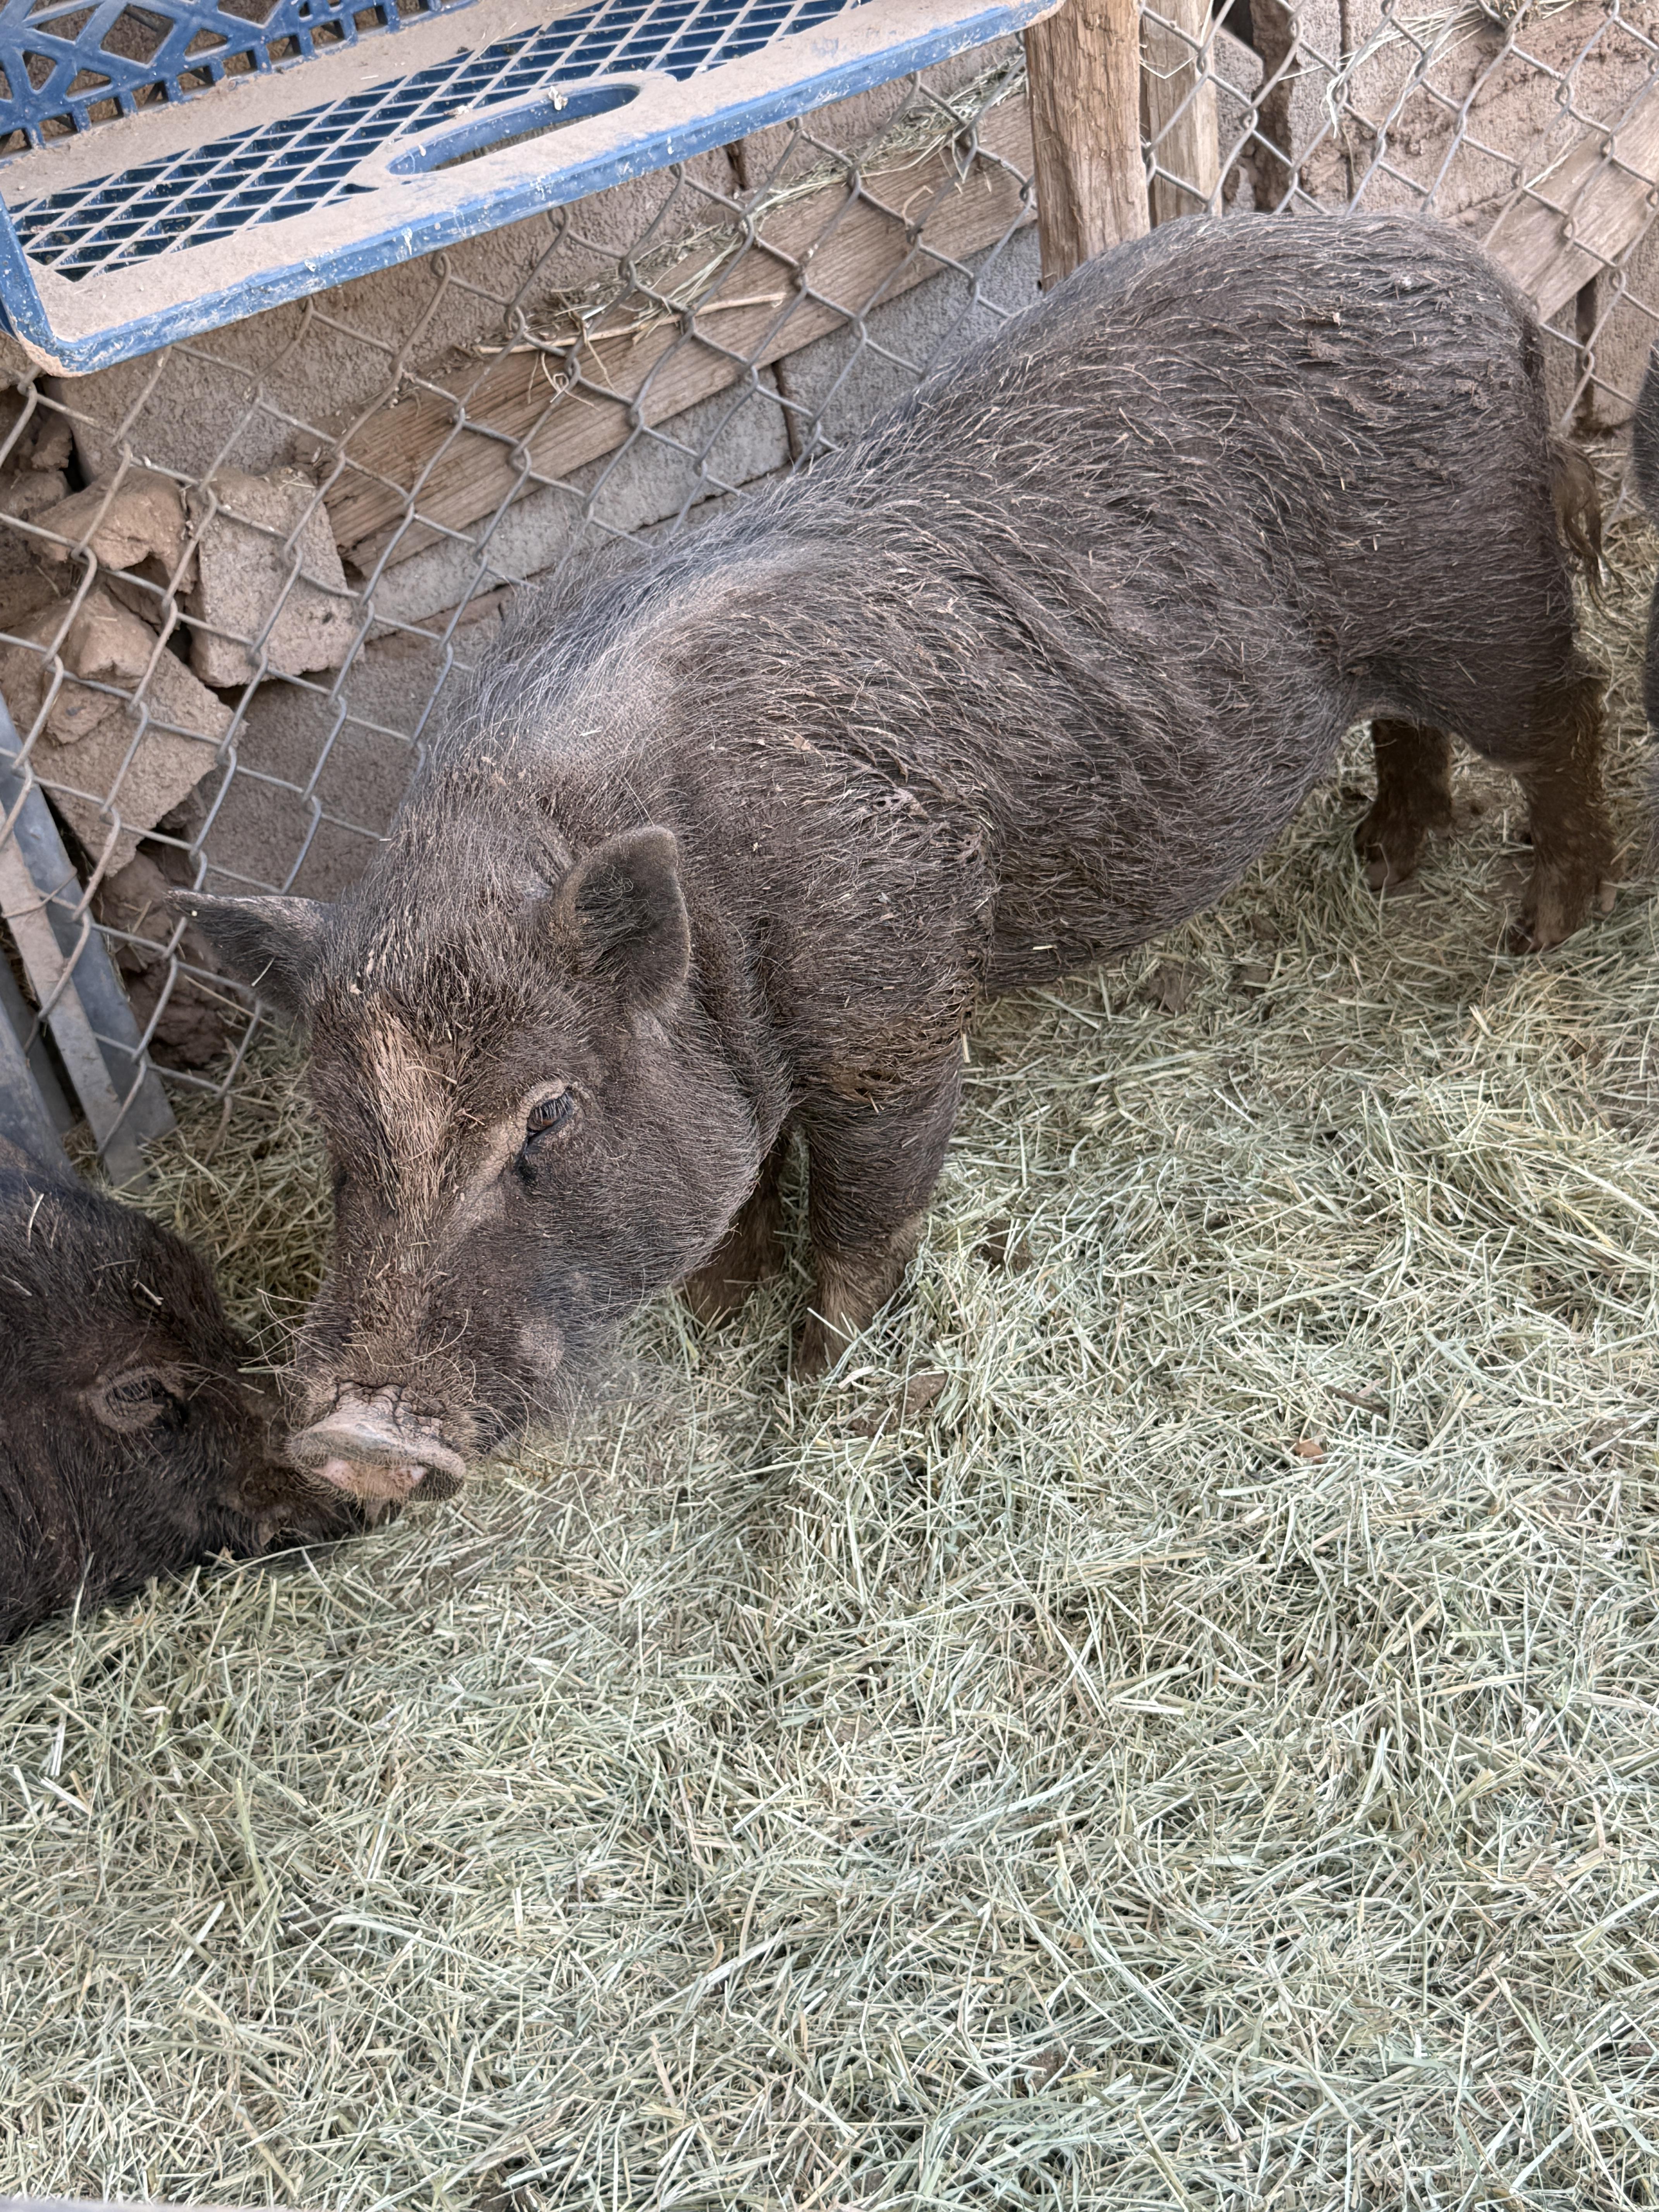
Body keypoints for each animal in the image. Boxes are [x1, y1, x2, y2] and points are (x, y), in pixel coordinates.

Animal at [177, 212, 1614, 1500]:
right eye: (337, 1133)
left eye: (549, 1114)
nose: (350, 1442)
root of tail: (1480, 273)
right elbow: (744, 1192)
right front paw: (721, 1312)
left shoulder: (893, 1007)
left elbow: (867, 1203)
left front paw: (812, 1374)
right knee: (1407, 725)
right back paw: (1382, 862)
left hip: (1487, 602)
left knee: (1573, 707)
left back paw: (1541, 923)